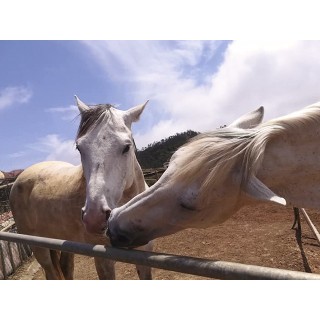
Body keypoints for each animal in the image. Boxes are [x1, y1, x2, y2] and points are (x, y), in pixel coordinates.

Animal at [10, 96, 153, 278]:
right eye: (79, 148)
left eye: (127, 147)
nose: (94, 218)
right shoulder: (104, 261)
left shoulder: (144, 255)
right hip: (39, 248)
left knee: (66, 267)